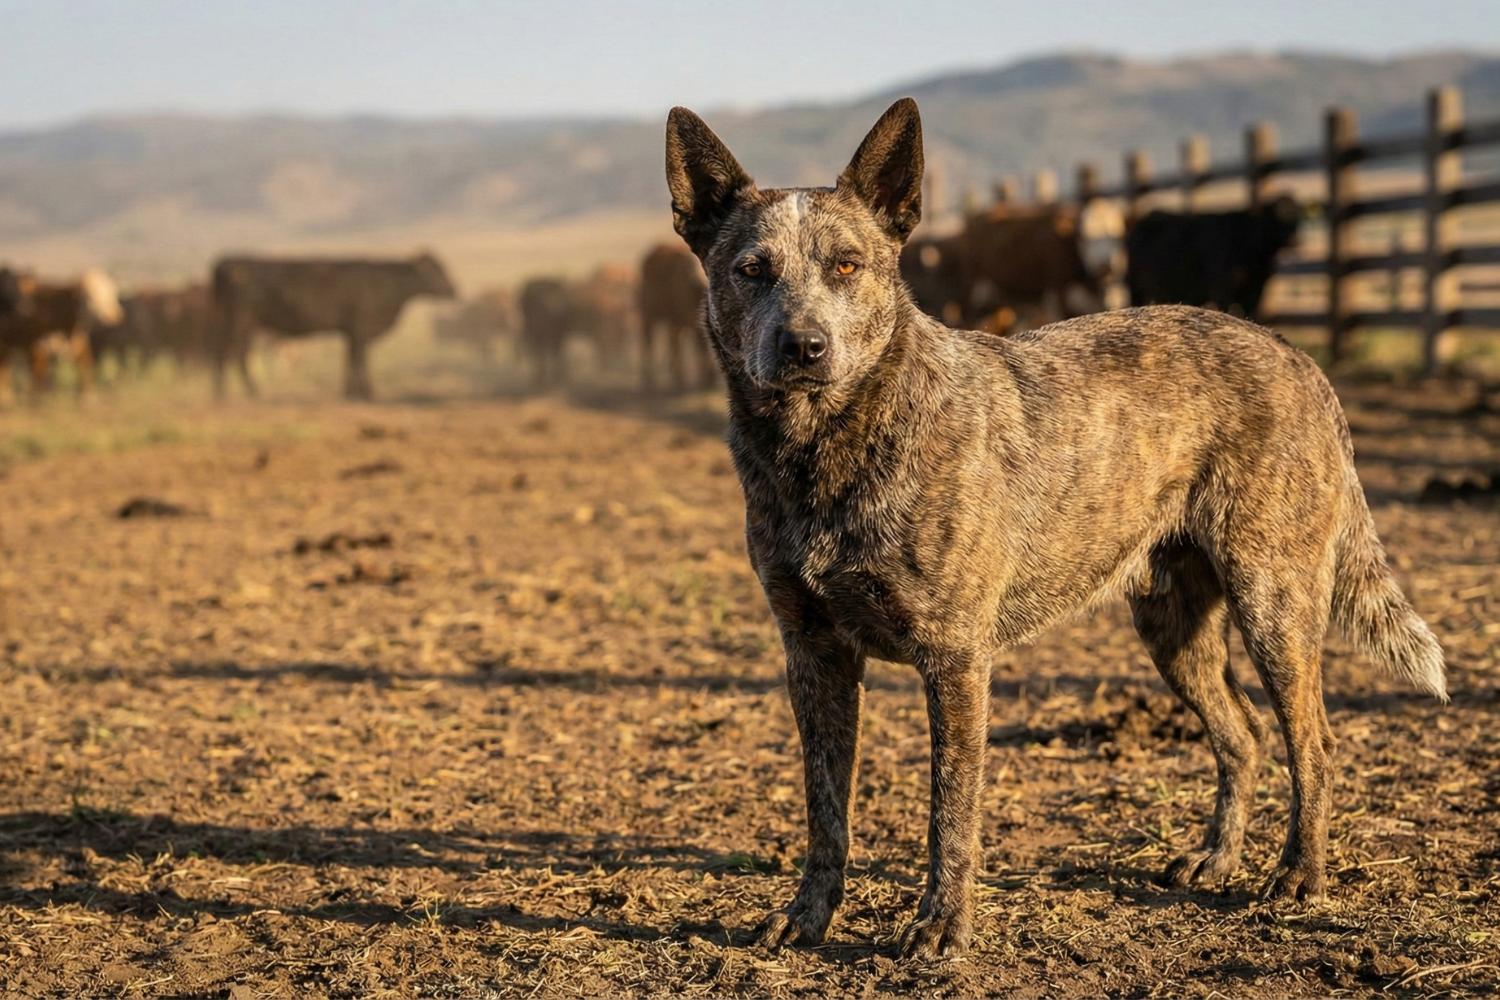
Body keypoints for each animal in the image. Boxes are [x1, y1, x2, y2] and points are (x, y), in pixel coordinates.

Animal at [210, 253, 456, 400]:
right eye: (437, 269)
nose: (454, 290)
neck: (386, 281)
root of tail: (225, 264)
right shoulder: (361, 327)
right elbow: (360, 360)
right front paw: (366, 392)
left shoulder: (351, 331)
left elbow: (351, 359)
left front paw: (351, 392)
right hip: (242, 319)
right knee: (234, 352)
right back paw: (244, 392)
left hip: (235, 319)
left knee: (228, 352)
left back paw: (226, 392)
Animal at [1125, 197, 1301, 320]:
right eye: (1274, 215)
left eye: (1295, 217)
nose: (1293, 239)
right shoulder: (1222, 289)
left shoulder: (1257, 289)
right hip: (1135, 288)